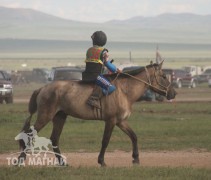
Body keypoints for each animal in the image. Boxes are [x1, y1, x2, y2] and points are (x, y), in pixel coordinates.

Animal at [17, 61, 176, 167]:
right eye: (163, 76)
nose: (173, 93)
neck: (124, 91)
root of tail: (43, 88)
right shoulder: (111, 121)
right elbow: (105, 141)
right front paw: (101, 161)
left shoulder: (121, 121)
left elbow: (134, 136)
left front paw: (136, 158)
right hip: (45, 116)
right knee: (30, 135)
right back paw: (20, 160)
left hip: (59, 117)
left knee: (54, 139)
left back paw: (62, 163)